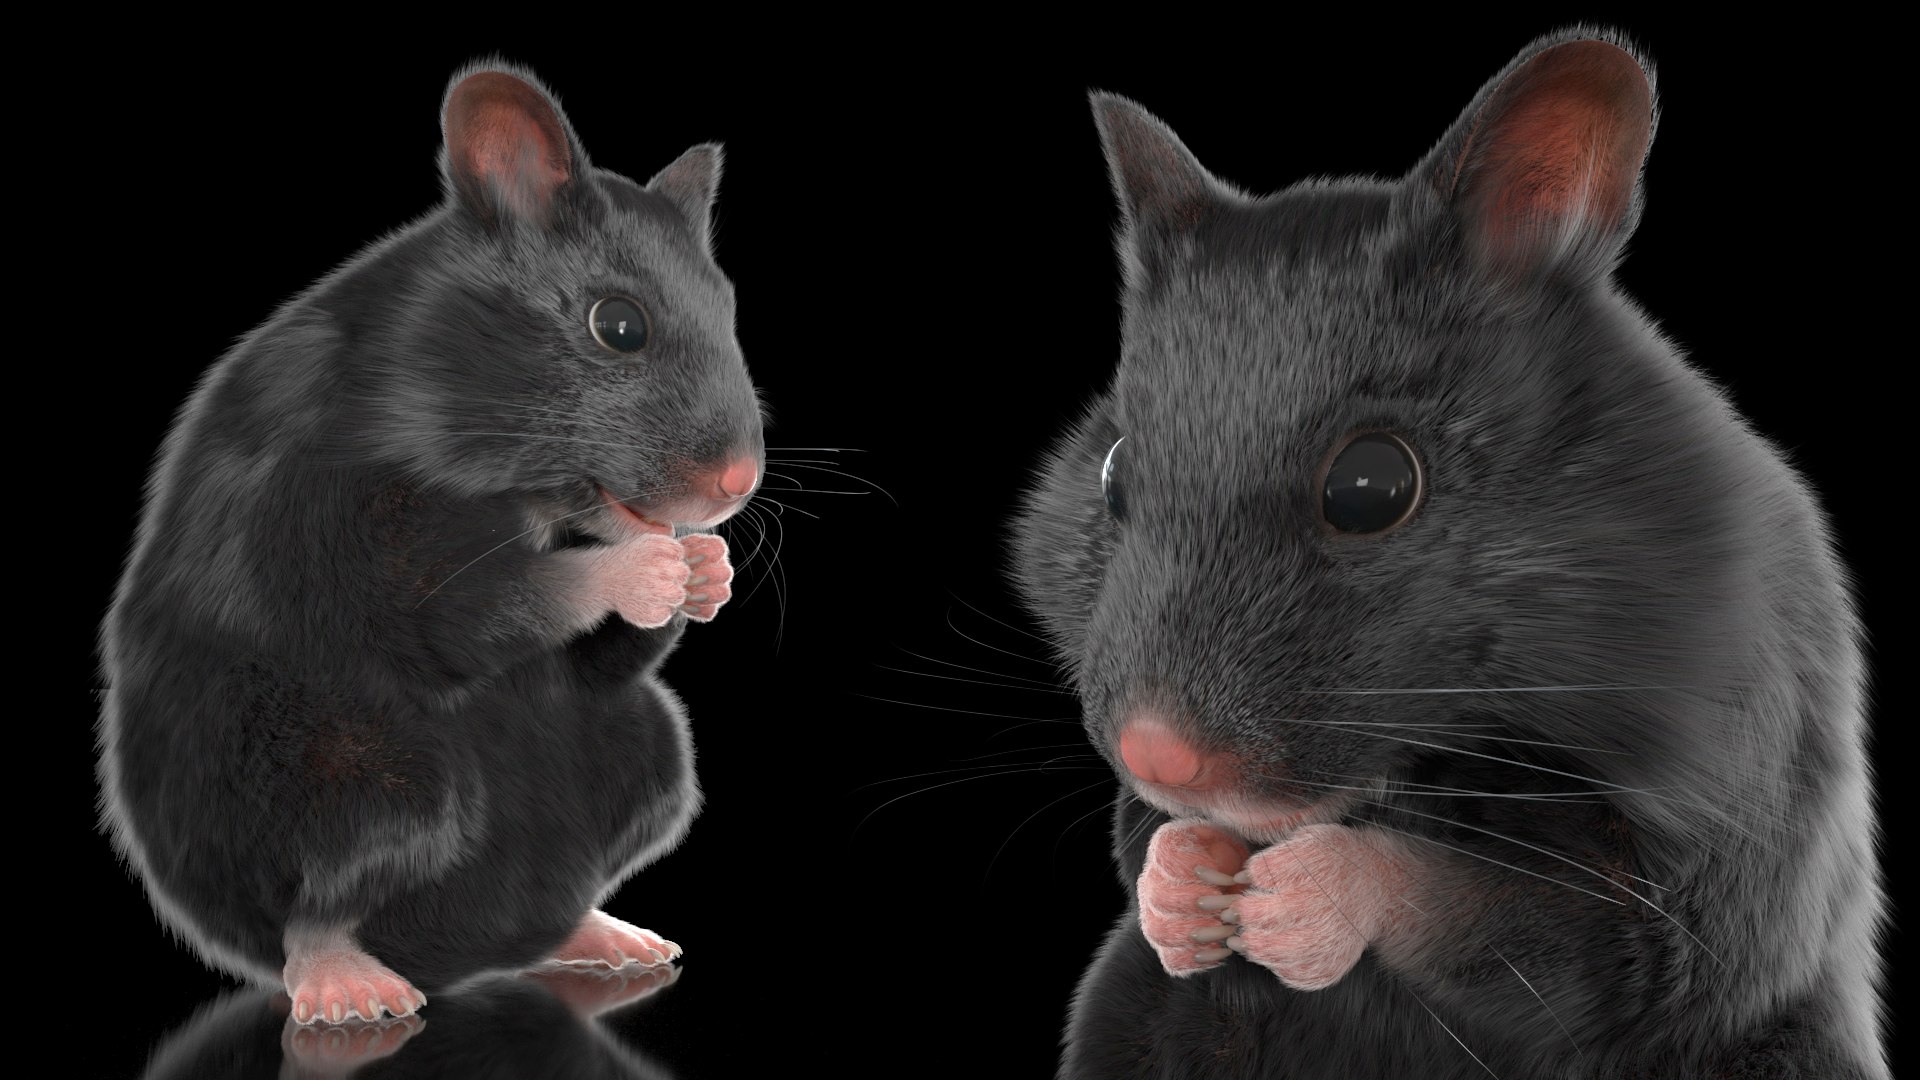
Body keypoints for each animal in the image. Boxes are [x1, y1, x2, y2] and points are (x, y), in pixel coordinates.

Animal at [95, 62, 764, 1026]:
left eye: (730, 309)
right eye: (620, 325)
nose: (740, 485)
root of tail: (463, 951)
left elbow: (601, 649)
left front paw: (708, 571)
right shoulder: (374, 532)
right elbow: (486, 605)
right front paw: (654, 563)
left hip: (654, 751)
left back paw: (618, 942)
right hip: (373, 784)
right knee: (314, 912)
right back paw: (355, 992)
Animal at [1013, 29, 1887, 1080]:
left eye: (1372, 486)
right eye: (1111, 469)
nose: (1158, 754)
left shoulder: (1711, 859)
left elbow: (1509, 915)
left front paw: (1298, 899)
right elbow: (1139, 842)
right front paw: (1181, 879)